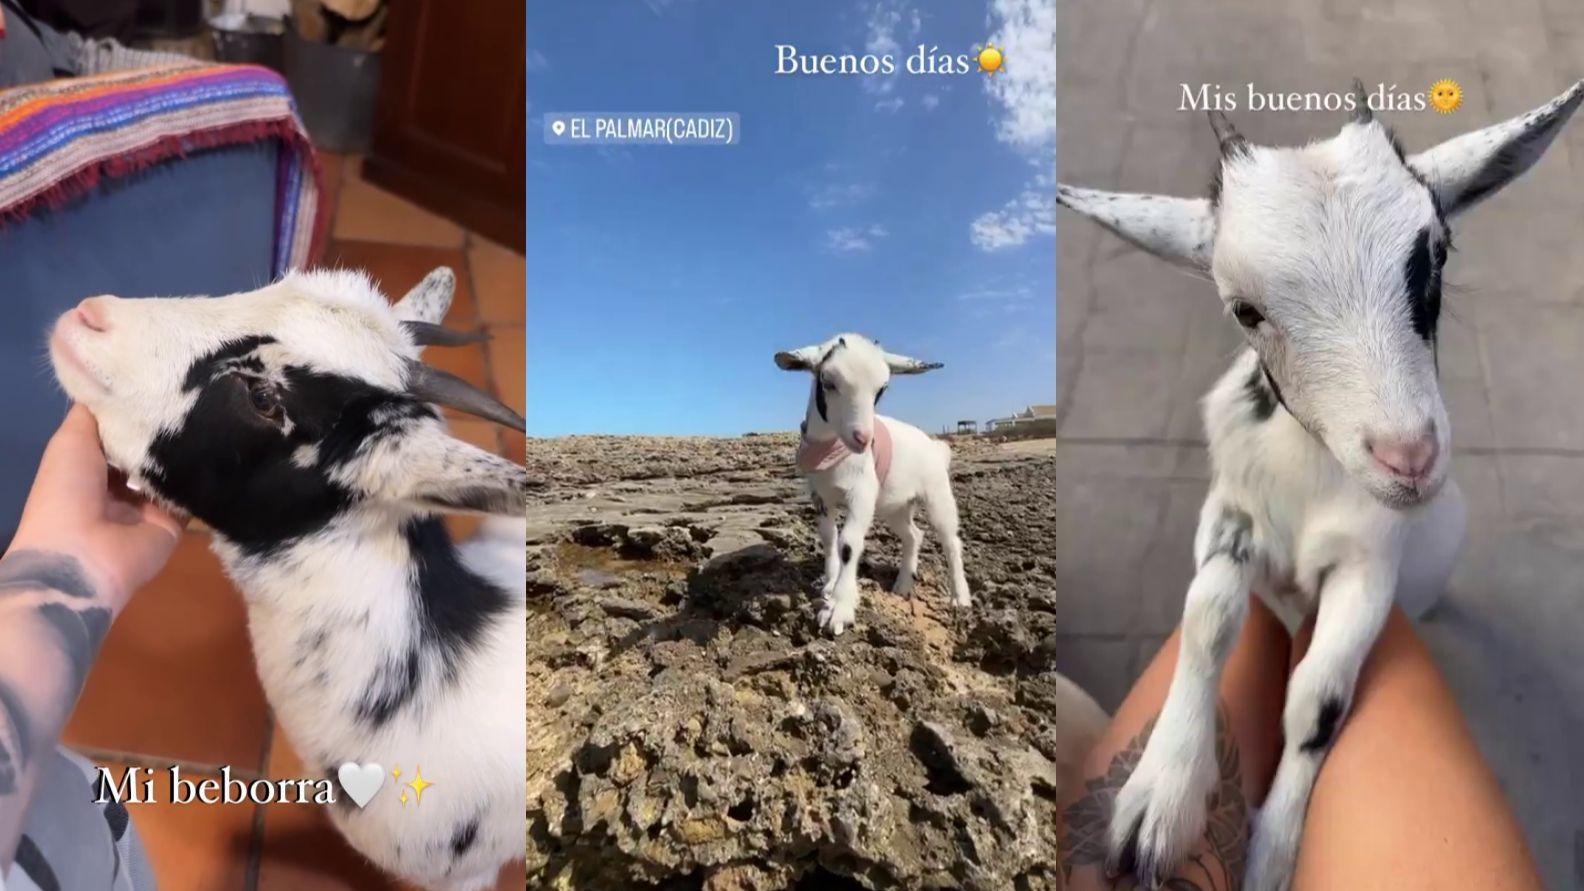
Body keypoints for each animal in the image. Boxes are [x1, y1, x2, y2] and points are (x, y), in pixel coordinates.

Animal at [774, 333, 969, 636]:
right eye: (827, 382)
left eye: (882, 389)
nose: (863, 438)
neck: (830, 452)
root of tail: (935, 447)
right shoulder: (820, 496)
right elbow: (829, 538)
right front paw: (829, 585)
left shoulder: (862, 494)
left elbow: (848, 544)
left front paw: (839, 608)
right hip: (895, 505)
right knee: (913, 535)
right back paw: (903, 584)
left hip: (938, 493)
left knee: (950, 540)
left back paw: (960, 597)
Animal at [1057, 79, 1584, 890]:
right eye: (1244, 308)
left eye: (1436, 252)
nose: (1409, 458)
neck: (1311, 481)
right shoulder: (1229, 513)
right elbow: (1209, 614)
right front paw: (1157, 800)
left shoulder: (1371, 566)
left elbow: (1317, 698)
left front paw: (1273, 857)